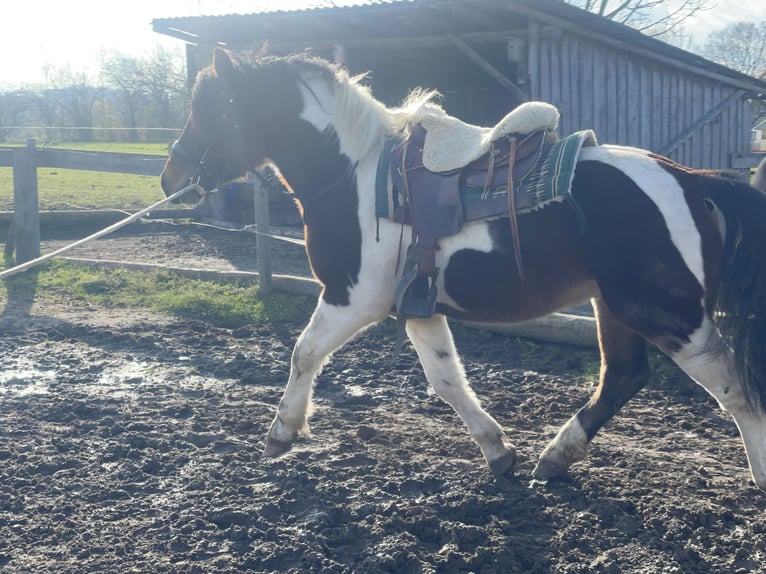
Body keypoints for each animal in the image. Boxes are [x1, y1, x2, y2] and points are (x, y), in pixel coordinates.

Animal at [162, 48, 766, 490]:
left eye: (210, 110)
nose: (172, 177)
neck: (355, 174)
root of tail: (689, 178)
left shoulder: (351, 297)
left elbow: (303, 353)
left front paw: (282, 432)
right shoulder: (418, 307)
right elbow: (447, 380)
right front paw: (499, 452)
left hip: (670, 315)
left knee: (734, 389)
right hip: (616, 306)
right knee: (624, 376)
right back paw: (554, 457)